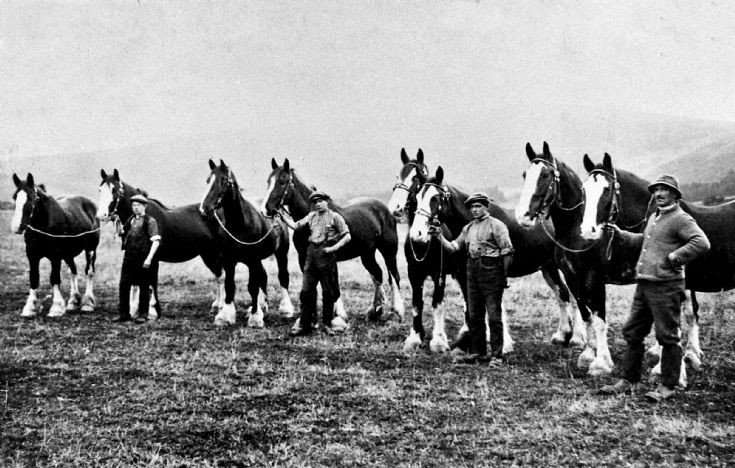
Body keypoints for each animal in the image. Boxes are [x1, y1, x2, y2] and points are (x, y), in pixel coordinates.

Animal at [11, 173, 99, 317]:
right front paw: (30, 308)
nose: (16, 227)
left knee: (89, 272)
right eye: (15, 197)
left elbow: (55, 278)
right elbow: (34, 278)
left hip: (91, 249)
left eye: (31, 197)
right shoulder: (32, 255)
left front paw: (56, 308)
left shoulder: (55, 256)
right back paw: (73, 302)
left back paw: (88, 303)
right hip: (68, 253)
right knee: (73, 271)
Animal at [98, 169, 225, 319]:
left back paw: (221, 307)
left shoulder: (152, 257)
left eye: (114, 190)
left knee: (221, 277)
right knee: (218, 276)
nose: (101, 215)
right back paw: (216, 307)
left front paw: (152, 310)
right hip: (207, 254)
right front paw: (134, 310)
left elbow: (151, 281)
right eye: (100, 189)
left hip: (213, 253)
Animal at [200, 159, 293, 327]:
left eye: (223, 180)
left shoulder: (253, 260)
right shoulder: (229, 261)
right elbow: (230, 285)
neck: (240, 224)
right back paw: (262, 306)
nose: (204, 208)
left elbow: (253, 287)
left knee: (283, 277)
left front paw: (255, 318)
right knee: (263, 276)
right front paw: (225, 316)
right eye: (208, 180)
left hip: (281, 252)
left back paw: (285, 309)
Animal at [261, 158, 404, 323]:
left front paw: (339, 315)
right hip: (367, 254)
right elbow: (311, 287)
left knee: (394, 276)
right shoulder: (304, 259)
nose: (265, 210)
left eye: (283, 181)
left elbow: (334, 286)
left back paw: (398, 312)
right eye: (268, 181)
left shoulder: (331, 257)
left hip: (389, 251)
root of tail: (387, 210)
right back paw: (375, 311)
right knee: (377, 274)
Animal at [409, 166, 578, 354]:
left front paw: (503, 343)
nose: (417, 234)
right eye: (416, 197)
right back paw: (562, 335)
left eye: (435, 198)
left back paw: (578, 339)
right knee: (562, 293)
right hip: (548, 268)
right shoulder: (465, 274)